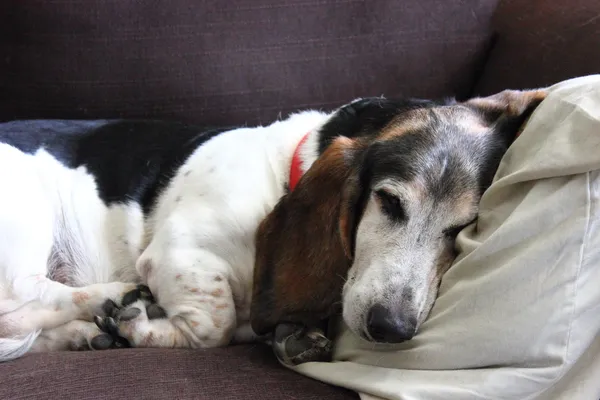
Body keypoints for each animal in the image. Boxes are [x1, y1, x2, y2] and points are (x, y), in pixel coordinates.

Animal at [0, 89, 544, 364]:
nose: (391, 329)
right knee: (21, 296)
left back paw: (81, 333)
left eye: (464, 227)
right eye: (388, 202)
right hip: (27, 210)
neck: (283, 173)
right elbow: (214, 326)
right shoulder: (179, 253)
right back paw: (111, 299)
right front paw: (144, 324)